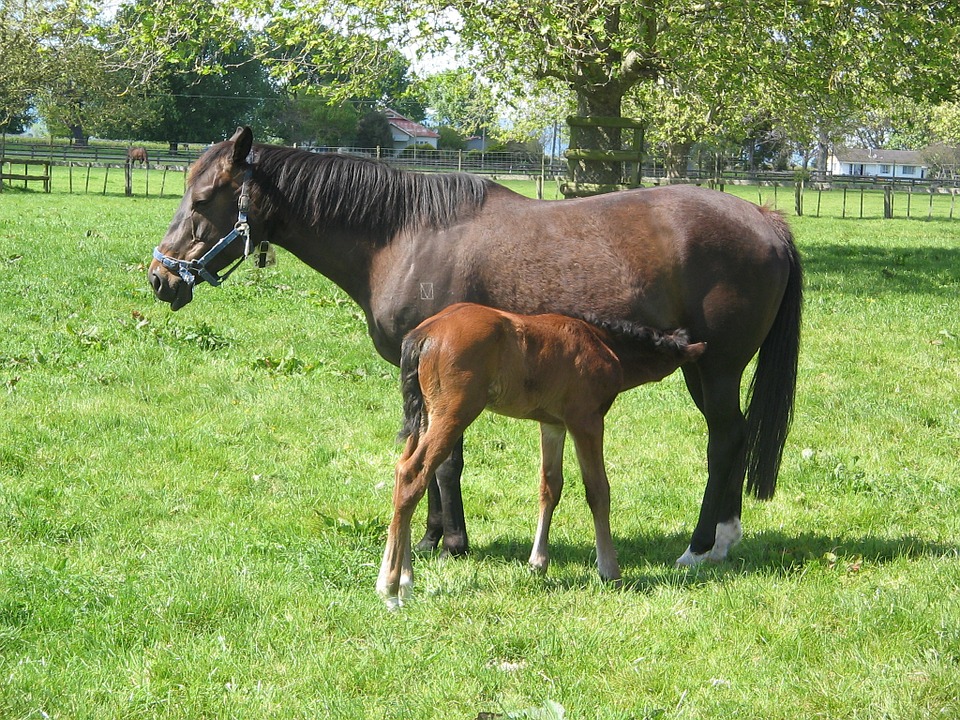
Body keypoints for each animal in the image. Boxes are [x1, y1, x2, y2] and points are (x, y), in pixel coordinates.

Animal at [149, 126, 802, 567]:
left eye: (203, 199)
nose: (159, 278)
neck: (404, 236)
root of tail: (766, 219)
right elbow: (432, 453)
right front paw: (432, 535)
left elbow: (447, 461)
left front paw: (450, 542)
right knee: (732, 439)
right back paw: (723, 539)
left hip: (716, 369)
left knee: (726, 440)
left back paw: (701, 545)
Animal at [376, 302, 707, 607]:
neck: (603, 342)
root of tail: (423, 334)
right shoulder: (586, 420)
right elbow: (598, 490)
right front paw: (610, 570)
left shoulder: (552, 424)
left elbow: (550, 486)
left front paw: (538, 562)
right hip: (454, 413)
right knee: (413, 473)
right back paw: (390, 586)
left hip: (425, 416)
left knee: (402, 469)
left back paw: (404, 579)